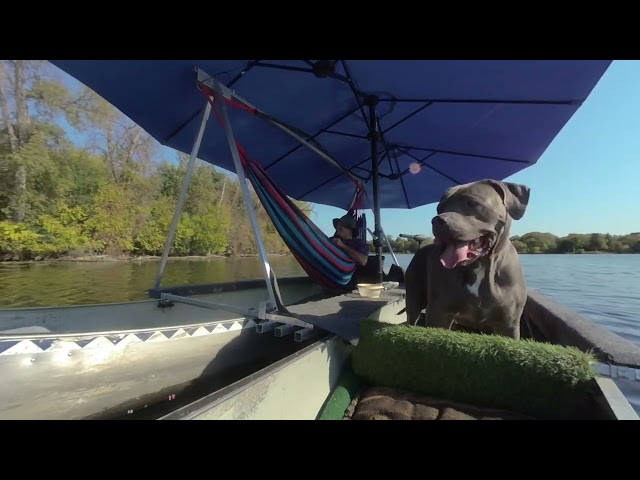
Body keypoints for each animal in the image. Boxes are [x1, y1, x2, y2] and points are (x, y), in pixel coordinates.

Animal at [404, 178, 528, 340]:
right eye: (439, 208)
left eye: (471, 202)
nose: (437, 220)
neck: (480, 265)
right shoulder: (438, 313)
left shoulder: (509, 323)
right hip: (414, 299)